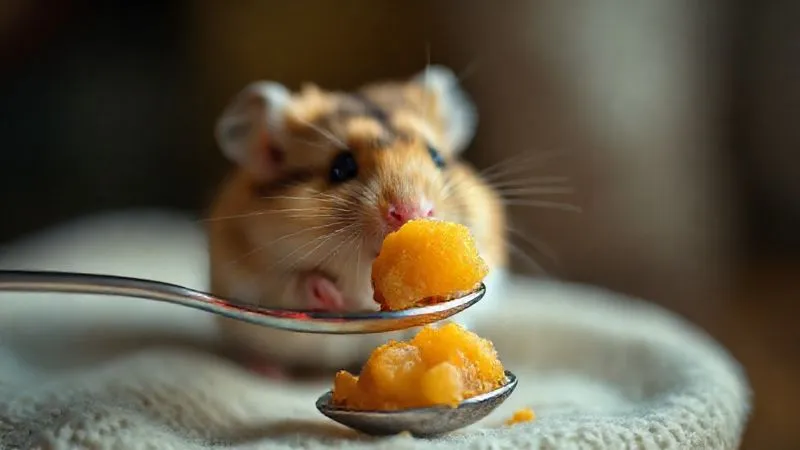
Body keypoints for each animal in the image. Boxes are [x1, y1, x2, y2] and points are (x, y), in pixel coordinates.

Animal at [206, 66, 509, 376]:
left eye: (437, 158)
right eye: (342, 167)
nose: (413, 212)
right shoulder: (253, 279)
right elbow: (295, 285)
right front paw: (330, 293)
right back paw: (266, 369)